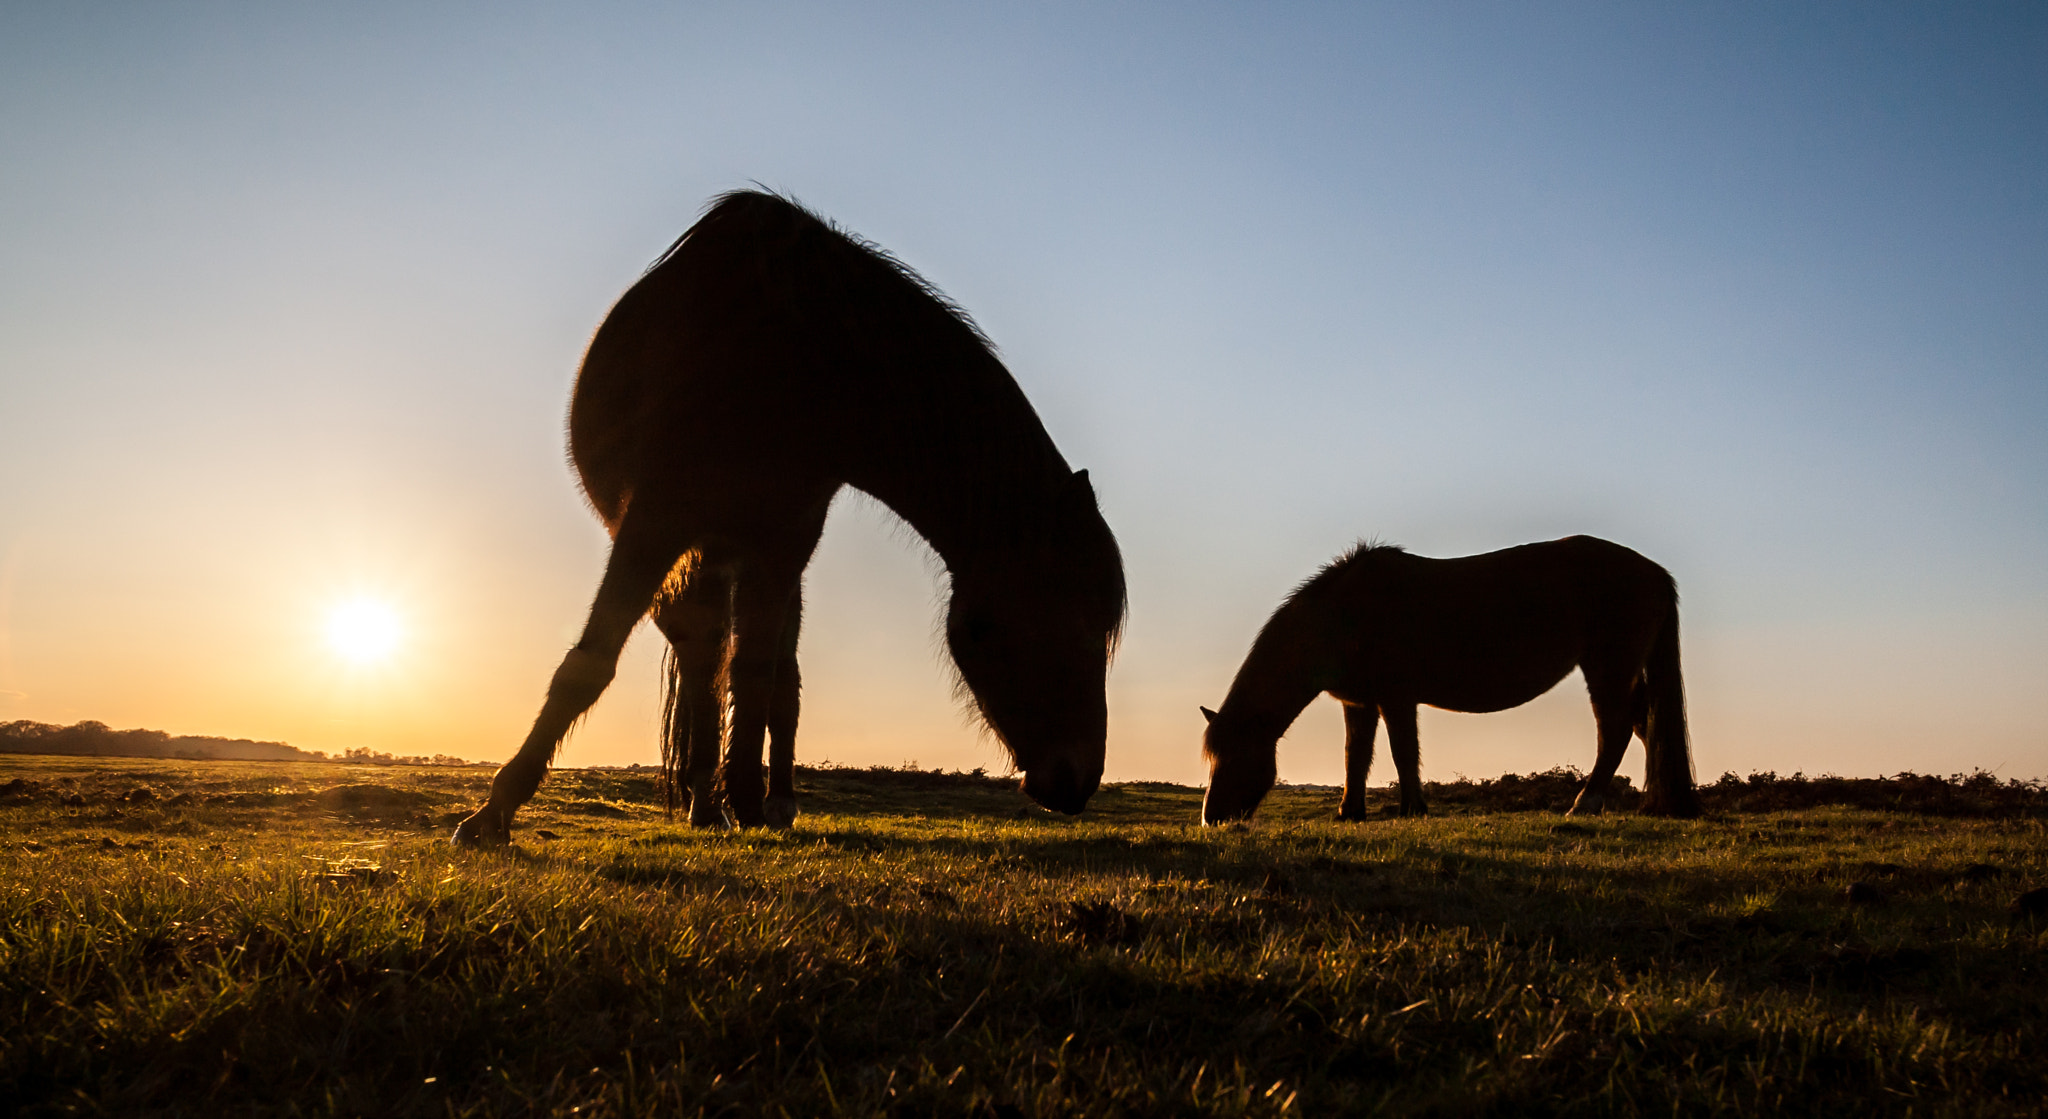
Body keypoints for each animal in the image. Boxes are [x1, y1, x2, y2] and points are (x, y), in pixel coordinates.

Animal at [454, 190, 1126, 843]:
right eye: (1071, 618)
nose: (1076, 781)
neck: (794, 363)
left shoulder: (780, 542)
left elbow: (757, 675)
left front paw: (750, 800)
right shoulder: (655, 522)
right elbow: (590, 665)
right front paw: (494, 812)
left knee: (763, 674)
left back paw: (751, 802)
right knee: (701, 661)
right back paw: (704, 801)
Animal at [1199, 535, 1700, 824]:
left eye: (1237, 755)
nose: (1211, 819)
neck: (1345, 616)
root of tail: (1655, 573)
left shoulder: (1396, 698)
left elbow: (1402, 752)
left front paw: (1412, 810)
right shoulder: (1360, 703)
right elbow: (1355, 757)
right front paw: (1350, 813)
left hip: (1606, 668)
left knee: (1615, 730)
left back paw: (1585, 804)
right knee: (1646, 726)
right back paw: (1665, 804)